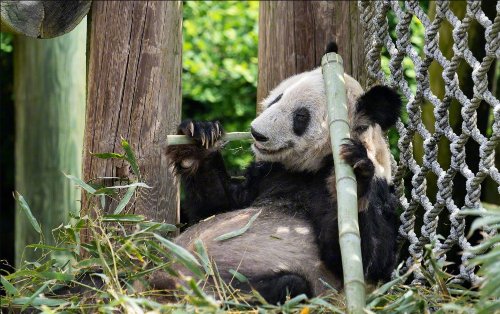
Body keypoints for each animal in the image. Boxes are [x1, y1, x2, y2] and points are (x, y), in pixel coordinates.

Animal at [163, 47, 402, 302]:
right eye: (277, 98)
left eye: (301, 116)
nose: (256, 133)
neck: (310, 168)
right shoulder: (268, 174)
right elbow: (216, 207)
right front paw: (199, 138)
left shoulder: (379, 191)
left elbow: (369, 260)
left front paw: (355, 176)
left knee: (290, 285)